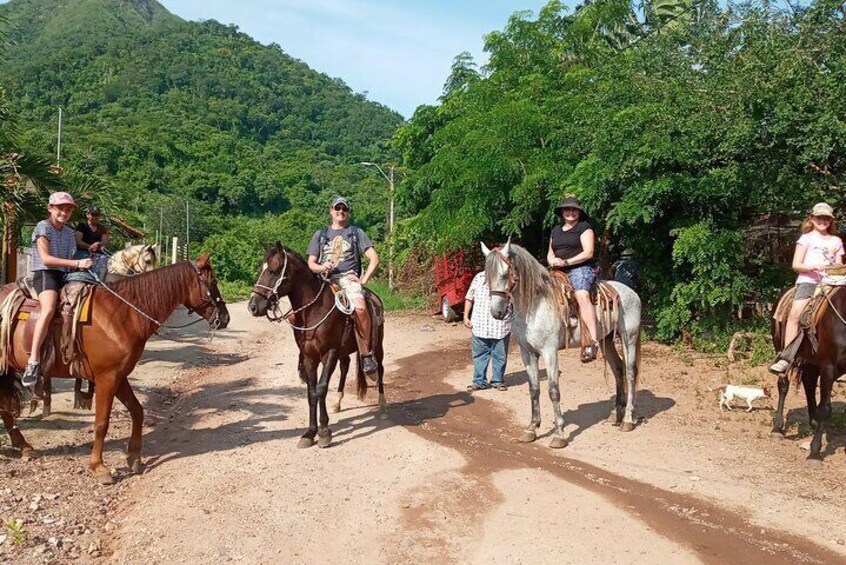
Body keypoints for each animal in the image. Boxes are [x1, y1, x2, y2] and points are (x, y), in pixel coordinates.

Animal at [0, 256, 229, 480]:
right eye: (213, 282)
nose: (225, 318)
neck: (120, 314)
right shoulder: (106, 378)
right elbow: (102, 423)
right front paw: (99, 467)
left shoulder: (119, 376)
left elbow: (137, 411)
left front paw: (134, 456)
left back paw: (24, 446)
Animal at [247, 245, 390, 448]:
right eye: (261, 269)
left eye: (274, 270)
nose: (253, 306)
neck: (314, 311)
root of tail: (374, 297)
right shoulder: (310, 357)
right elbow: (311, 392)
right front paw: (309, 433)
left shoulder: (329, 353)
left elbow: (321, 388)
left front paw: (324, 432)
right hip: (344, 351)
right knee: (345, 367)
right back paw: (337, 403)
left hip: (377, 346)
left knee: (380, 369)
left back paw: (383, 407)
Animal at [484, 240, 644, 448]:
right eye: (487, 276)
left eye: (505, 274)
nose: (497, 312)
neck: (535, 305)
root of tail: (631, 292)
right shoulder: (527, 353)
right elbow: (534, 389)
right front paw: (531, 428)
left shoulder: (549, 352)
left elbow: (553, 391)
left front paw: (559, 434)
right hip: (607, 341)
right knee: (618, 369)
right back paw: (616, 414)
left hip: (629, 338)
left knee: (631, 373)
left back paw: (628, 420)